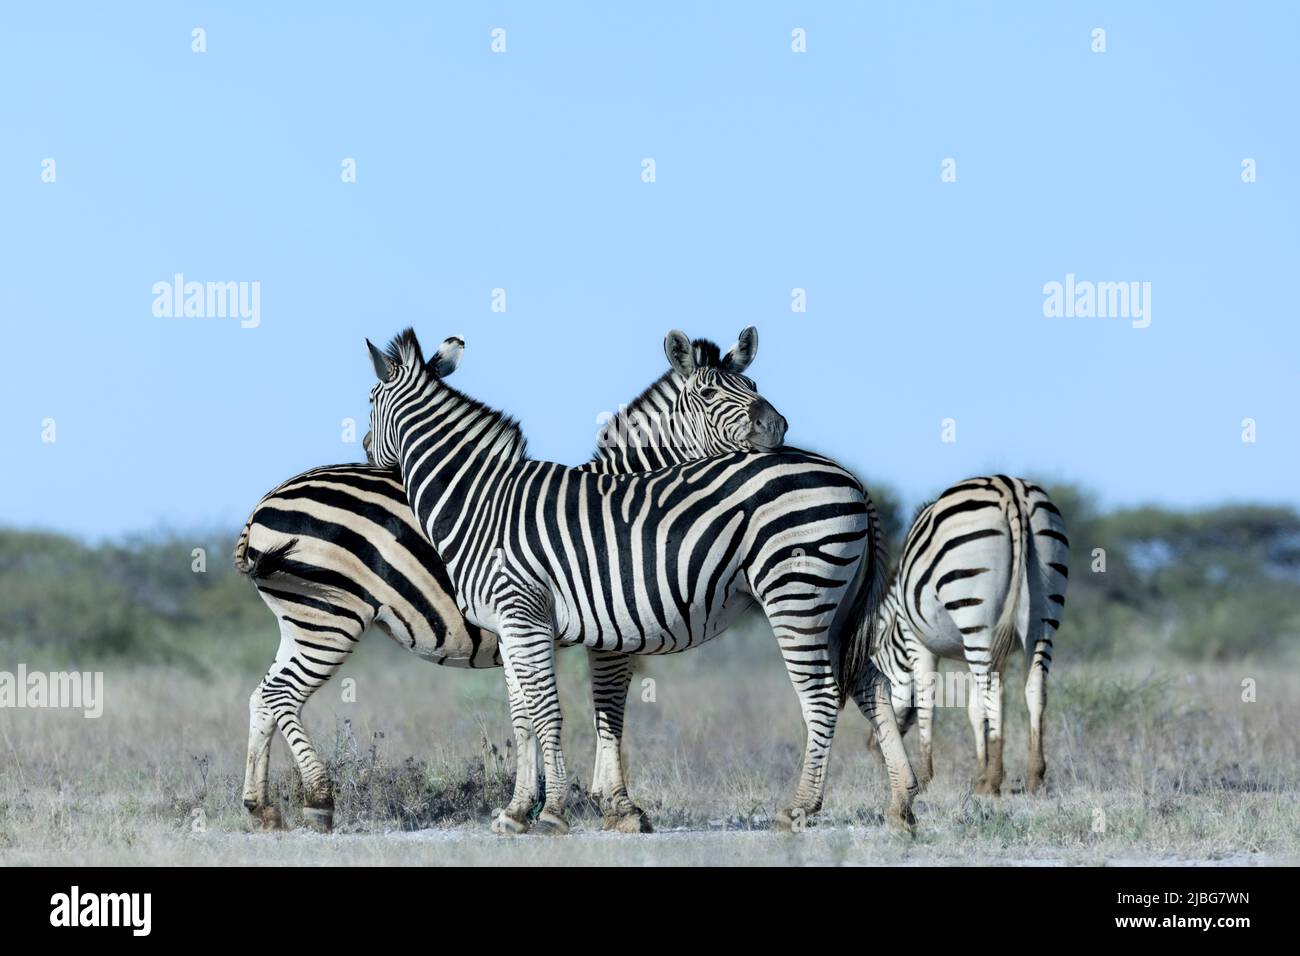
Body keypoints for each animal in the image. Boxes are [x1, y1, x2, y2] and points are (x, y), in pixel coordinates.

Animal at [234, 327, 853, 832]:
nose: (778, 428)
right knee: (279, 694)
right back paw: (314, 801)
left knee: (265, 696)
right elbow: (601, 707)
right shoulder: (603, 626)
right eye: (708, 394)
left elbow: (553, 713)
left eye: (753, 383)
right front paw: (608, 805)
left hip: (304, 620)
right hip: (327, 615)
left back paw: (263, 808)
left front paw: (563, 805)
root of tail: (264, 503)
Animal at [865, 475, 1069, 795]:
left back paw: (995, 782)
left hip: (975, 617)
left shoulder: (916, 641)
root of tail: (1009, 489)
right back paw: (1033, 776)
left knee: (994, 692)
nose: (873, 748)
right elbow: (975, 710)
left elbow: (927, 703)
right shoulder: (990, 652)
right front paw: (979, 773)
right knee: (1034, 687)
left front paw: (927, 777)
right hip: (1044, 614)